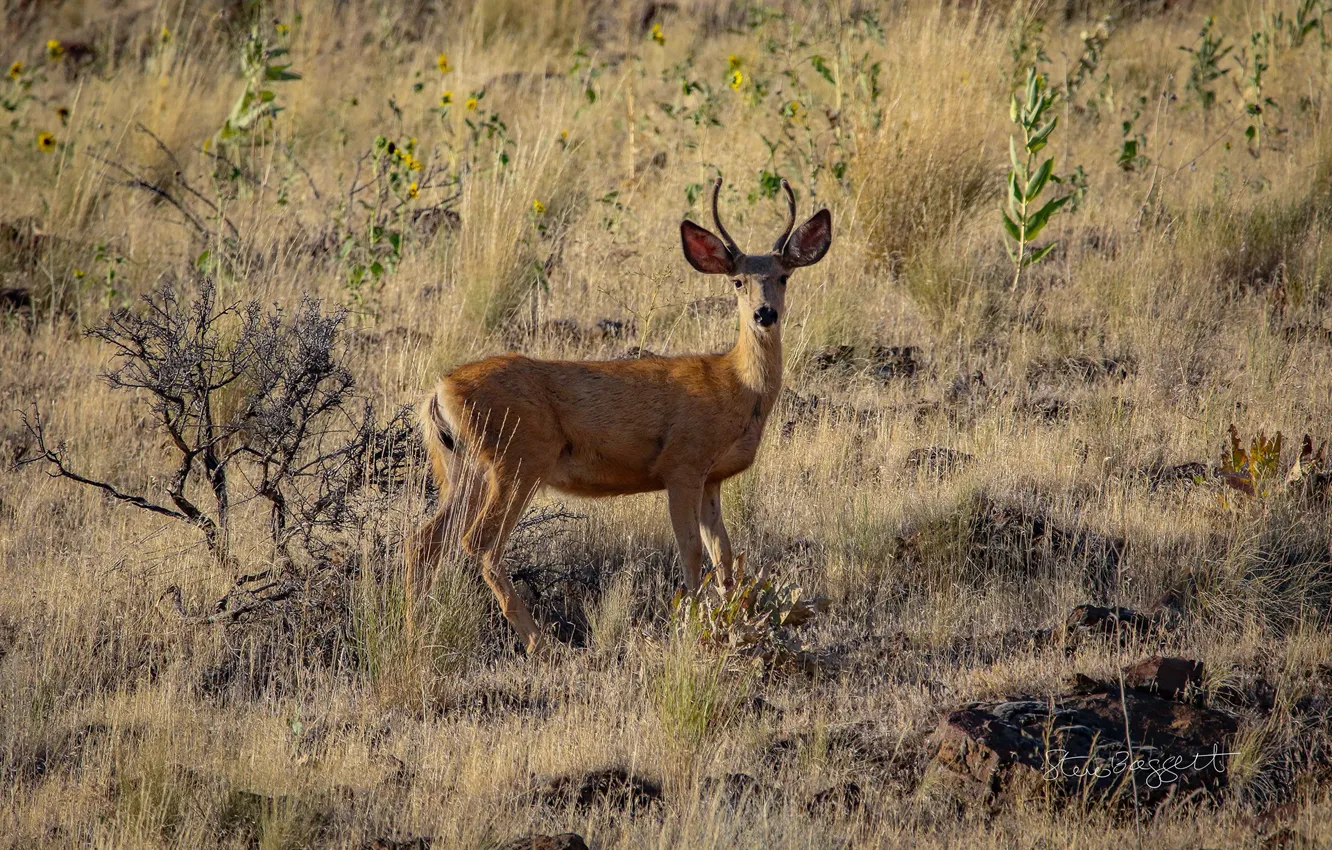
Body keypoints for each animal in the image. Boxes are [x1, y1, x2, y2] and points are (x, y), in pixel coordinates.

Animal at [406, 178, 832, 655]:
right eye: (738, 281)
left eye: (783, 276)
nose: (765, 313)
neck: (736, 386)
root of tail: (440, 391)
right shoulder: (683, 464)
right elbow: (691, 552)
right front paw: (692, 627)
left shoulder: (712, 478)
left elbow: (723, 554)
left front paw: (729, 621)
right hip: (519, 458)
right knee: (479, 543)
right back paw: (539, 642)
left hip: (464, 468)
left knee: (424, 542)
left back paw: (413, 631)